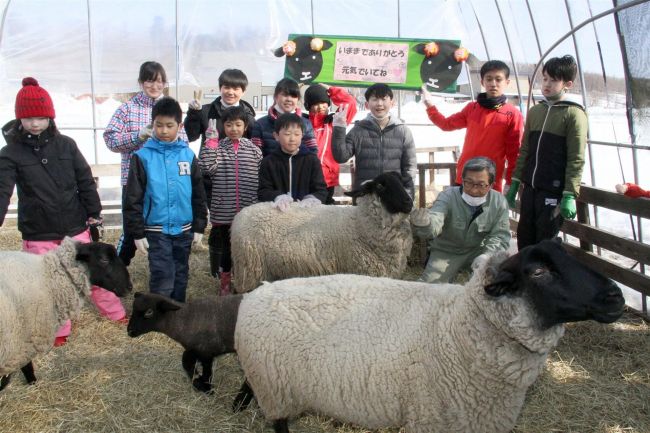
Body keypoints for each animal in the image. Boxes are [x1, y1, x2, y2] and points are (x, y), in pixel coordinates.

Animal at [0, 238, 132, 390]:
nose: (129, 287)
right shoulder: (19, 344)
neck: (49, 278)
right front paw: (32, 382)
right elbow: (26, 367)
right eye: (104, 259)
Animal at [230, 170, 412, 292]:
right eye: (381, 185)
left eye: (401, 181)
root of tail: (239, 216)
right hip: (250, 271)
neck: (360, 223)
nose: (409, 202)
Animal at [233, 238, 624, 430]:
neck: (460, 329)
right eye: (539, 272)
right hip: (276, 390)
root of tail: (255, 294)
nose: (616, 296)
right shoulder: (430, 418)